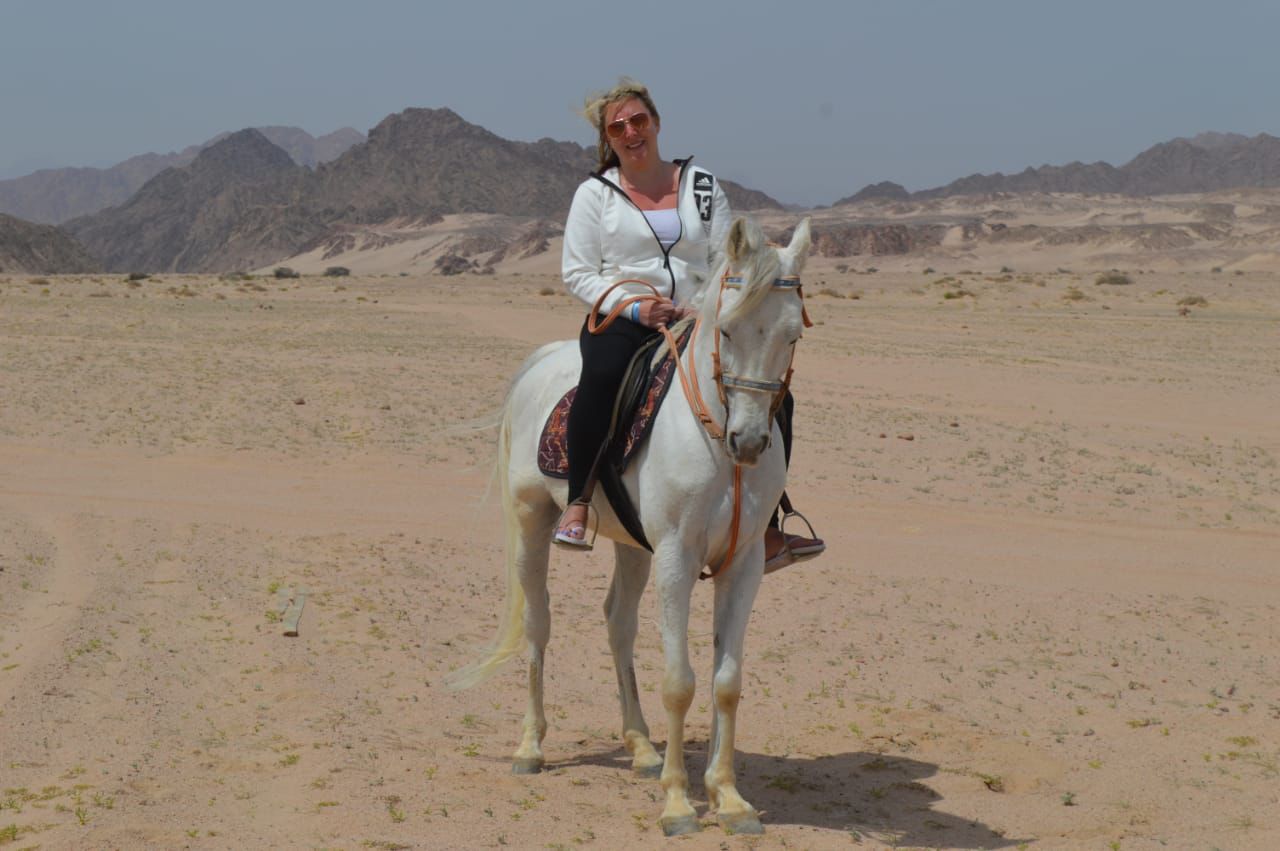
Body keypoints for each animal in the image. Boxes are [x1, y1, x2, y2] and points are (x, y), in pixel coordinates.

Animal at [451, 216, 813, 836]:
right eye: (728, 329)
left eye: (791, 336)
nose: (748, 442)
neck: (712, 439)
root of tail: (542, 362)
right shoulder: (677, 557)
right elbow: (680, 682)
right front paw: (679, 804)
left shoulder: (743, 564)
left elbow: (726, 683)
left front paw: (728, 798)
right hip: (532, 522)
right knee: (539, 625)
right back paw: (531, 748)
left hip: (634, 546)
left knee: (617, 623)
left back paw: (642, 747)